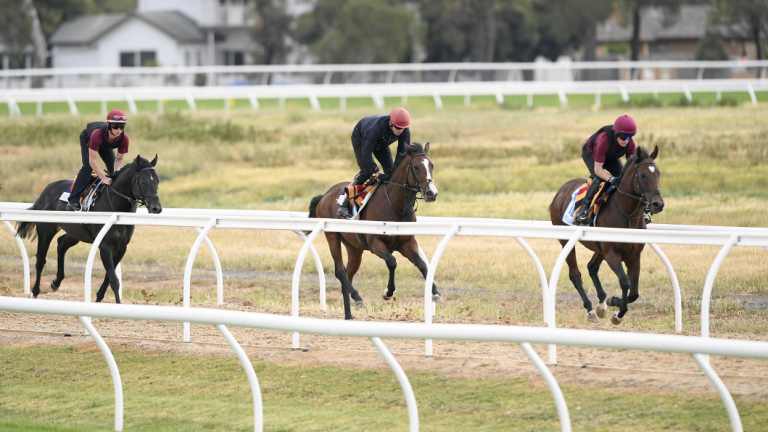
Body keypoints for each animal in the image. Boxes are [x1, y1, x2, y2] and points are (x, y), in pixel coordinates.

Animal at [15, 154, 162, 302]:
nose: (156, 208)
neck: (116, 209)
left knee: (61, 244)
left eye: (157, 181)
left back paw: (56, 282)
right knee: (40, 260)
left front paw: (99, 297)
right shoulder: (105, 246)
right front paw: (117, 303)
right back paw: (35, 291)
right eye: (143, 181)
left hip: (75, 233)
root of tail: (46, 190)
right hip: (46, 230)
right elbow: (114, 279)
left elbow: (109, 277)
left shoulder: (122, 246)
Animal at [306, 143, 438, 318]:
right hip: (332, 236)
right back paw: (357, 297)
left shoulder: (407, 242)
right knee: (340, 271)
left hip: (354, 248)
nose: (432, 193)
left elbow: (422, 265)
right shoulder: (375, 243)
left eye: (431, 165)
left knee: (348, 273)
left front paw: (435, 291)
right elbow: (392, 262)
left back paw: (349, 314)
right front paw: (388, 292)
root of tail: (325, 195)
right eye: (416, 167)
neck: (396, 206)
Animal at [548, 145, 664, 324]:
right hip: (566, 241)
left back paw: (601, 304)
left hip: (599, 248)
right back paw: (590, 309)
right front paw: (616, 308)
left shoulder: (634, 256)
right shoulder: (612, 254)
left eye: (658, 173)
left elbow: (634, 292)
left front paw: (613, 305)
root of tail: (560, 191)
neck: (627, 214)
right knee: (575, 274)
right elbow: (625, 283)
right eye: (643, 175)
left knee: (592, 267)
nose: (658, 204)